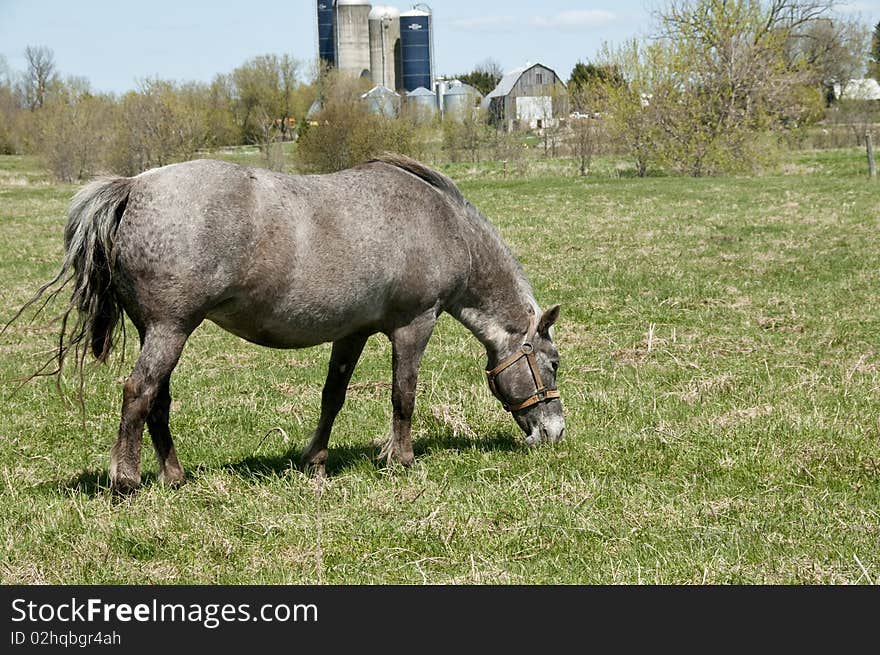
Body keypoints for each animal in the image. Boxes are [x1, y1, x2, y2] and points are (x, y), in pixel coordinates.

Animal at [15, 154, 564, 492]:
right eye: (553, 363)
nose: (554, 432)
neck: (441, 224)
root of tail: (134, 187)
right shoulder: (414, 324)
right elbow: (403, 395)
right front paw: (401, 460)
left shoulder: (353, 332)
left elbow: (333, 396)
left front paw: (315, 462)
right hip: (171, 329)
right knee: (139, 393)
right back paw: (126, 482)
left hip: (160, 332)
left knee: (158, 402)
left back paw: (174, 477)